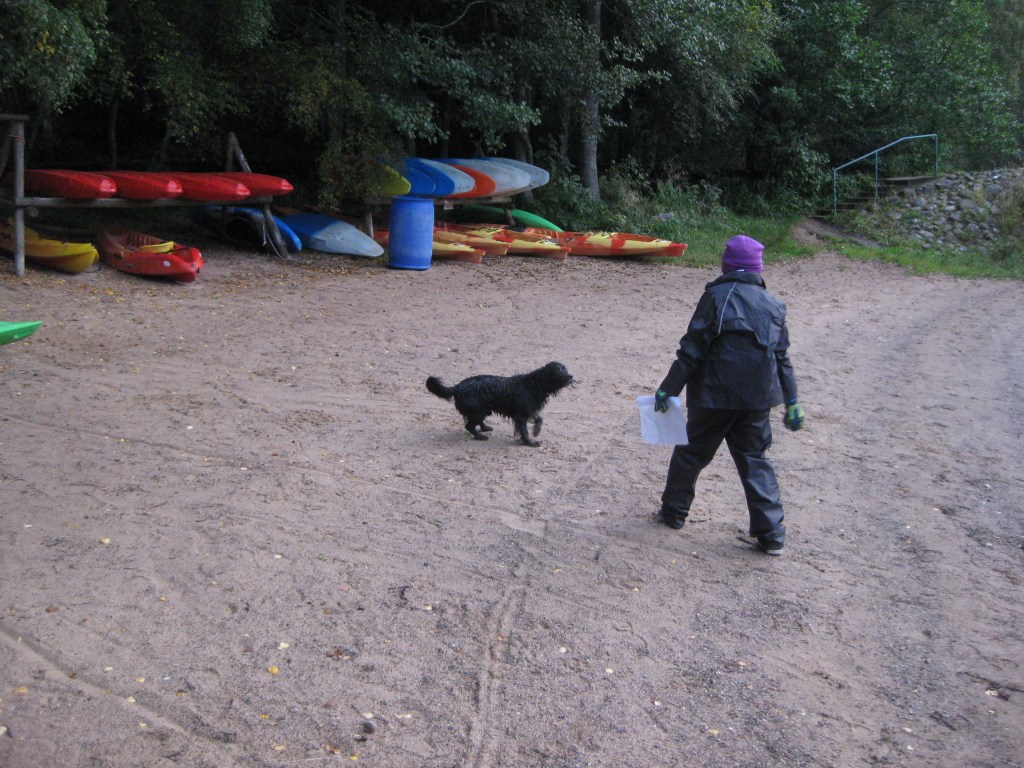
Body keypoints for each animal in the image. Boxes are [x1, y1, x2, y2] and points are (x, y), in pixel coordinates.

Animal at [426, 361, 574, 446]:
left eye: (565, 368)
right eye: (557, 370)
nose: (571, 376)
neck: (534, 384)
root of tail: (457, 387)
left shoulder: (529, 410)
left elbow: (539, 419)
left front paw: (536, 431)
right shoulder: (521, 415)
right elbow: (524, 431)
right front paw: (530, 442)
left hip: (482, 410)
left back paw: (485, 428)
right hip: (478, 411)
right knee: (469, 426)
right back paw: (480, 436)